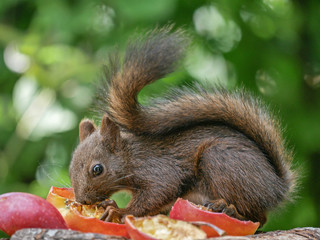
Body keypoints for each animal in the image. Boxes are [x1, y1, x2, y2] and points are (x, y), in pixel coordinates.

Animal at [69, 27, 296, 226]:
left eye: (97, 169)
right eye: (71, 168)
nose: (83, 200)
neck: (131, 156)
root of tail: (277, 187)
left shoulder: (158, 170)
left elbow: (158, 193)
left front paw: (119, 211)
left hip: (223, 161)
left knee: (258, 216)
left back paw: (229, 210)